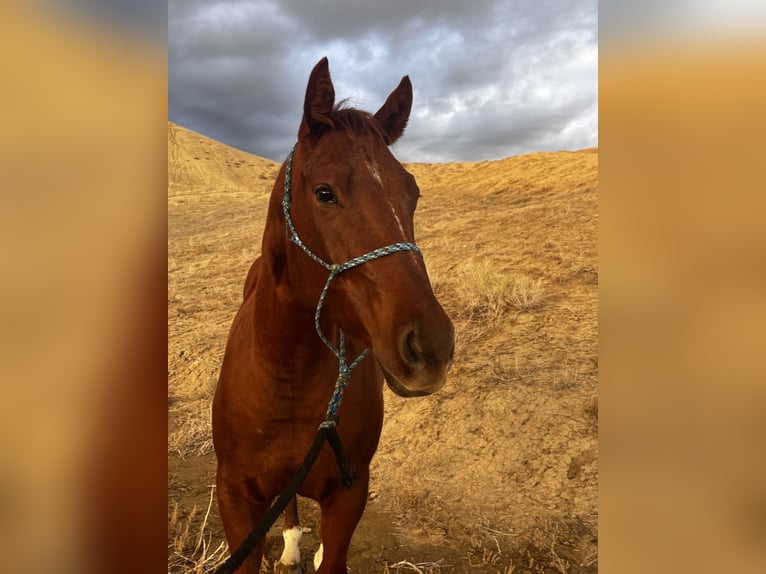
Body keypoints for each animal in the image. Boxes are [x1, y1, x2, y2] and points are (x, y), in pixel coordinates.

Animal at [212, 57, 455, 574]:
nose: (432, 347)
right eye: (325, 193)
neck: (287, 373)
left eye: (413, 194)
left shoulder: (350, 490)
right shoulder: (235, 498)